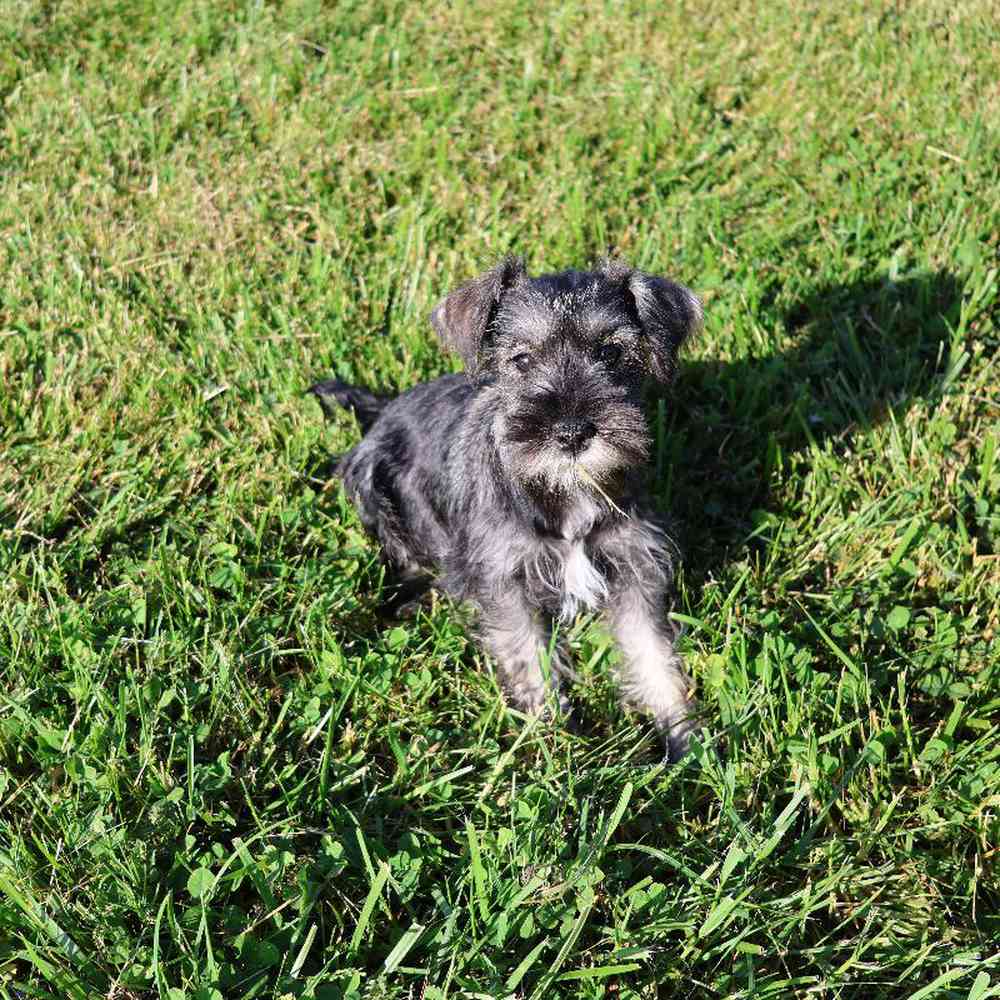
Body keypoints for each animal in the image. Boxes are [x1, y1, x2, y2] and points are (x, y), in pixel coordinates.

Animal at [312, 256, 704, 756]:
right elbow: (528, 657)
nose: (572, 433)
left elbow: (653, 654)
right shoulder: (505, 579)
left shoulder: (635, 567)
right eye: (521, 360)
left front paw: (688, 739)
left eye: (612, 353)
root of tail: (383, 409)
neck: (562, 493)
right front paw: (554, 742)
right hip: (372, 487)